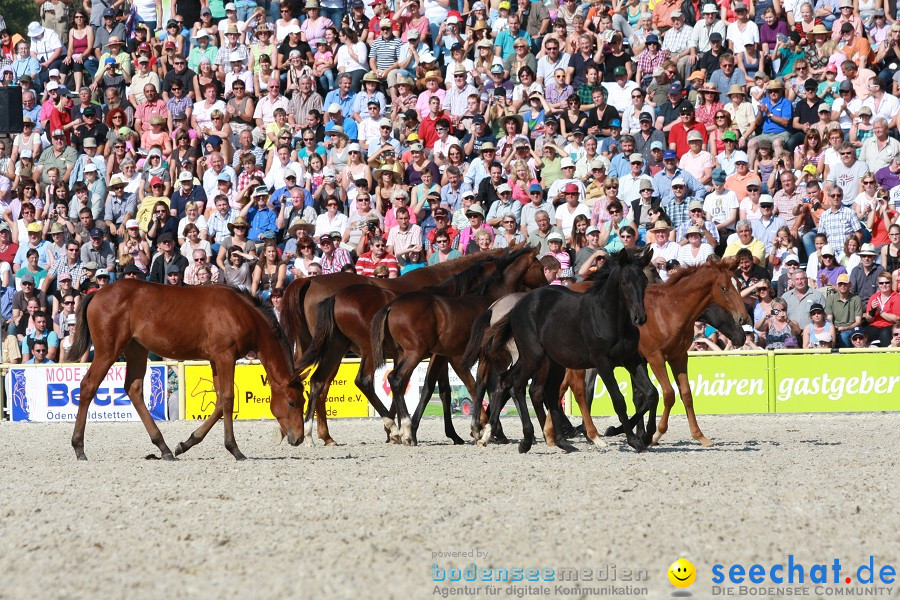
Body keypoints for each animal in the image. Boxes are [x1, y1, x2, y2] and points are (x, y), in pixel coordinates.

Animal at [67, 284, 306, 462]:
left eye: (303, 402)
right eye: (292, 402)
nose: (299, 439)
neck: (242, 312)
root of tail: (98, 293)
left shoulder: (215, 360)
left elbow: (220, 401)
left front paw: (186, 443)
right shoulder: (225, 356)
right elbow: (228, 399)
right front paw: (234, 449)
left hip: (136, 349)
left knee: (133, 389)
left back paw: (163, 447)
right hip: (108, 351)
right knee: (88, 386)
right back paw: (79, 447)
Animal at [370, 244, 544, 446]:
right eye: (541, 268)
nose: (547, 286)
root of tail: (392, 306)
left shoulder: (447, 355)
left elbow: (471, 385)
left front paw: (481, 429)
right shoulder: (487, 356)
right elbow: (485, 385)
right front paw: (484, 429)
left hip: (404, 353)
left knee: (397, 380)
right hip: (415, 353)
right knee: (397, 379)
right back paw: (405, 429)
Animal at [474, 250, 652, 454]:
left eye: (644, 281)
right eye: (624, 283)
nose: (640, 318)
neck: (609, 318)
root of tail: (516, 305)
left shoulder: (631, 359)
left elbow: (650, 394)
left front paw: (631, 434)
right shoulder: (602, 363)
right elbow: (618, 400)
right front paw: (632, 439)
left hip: (544, 360)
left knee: (515, 384)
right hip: (533, 357)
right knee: (518, 386)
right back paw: (526, 440)